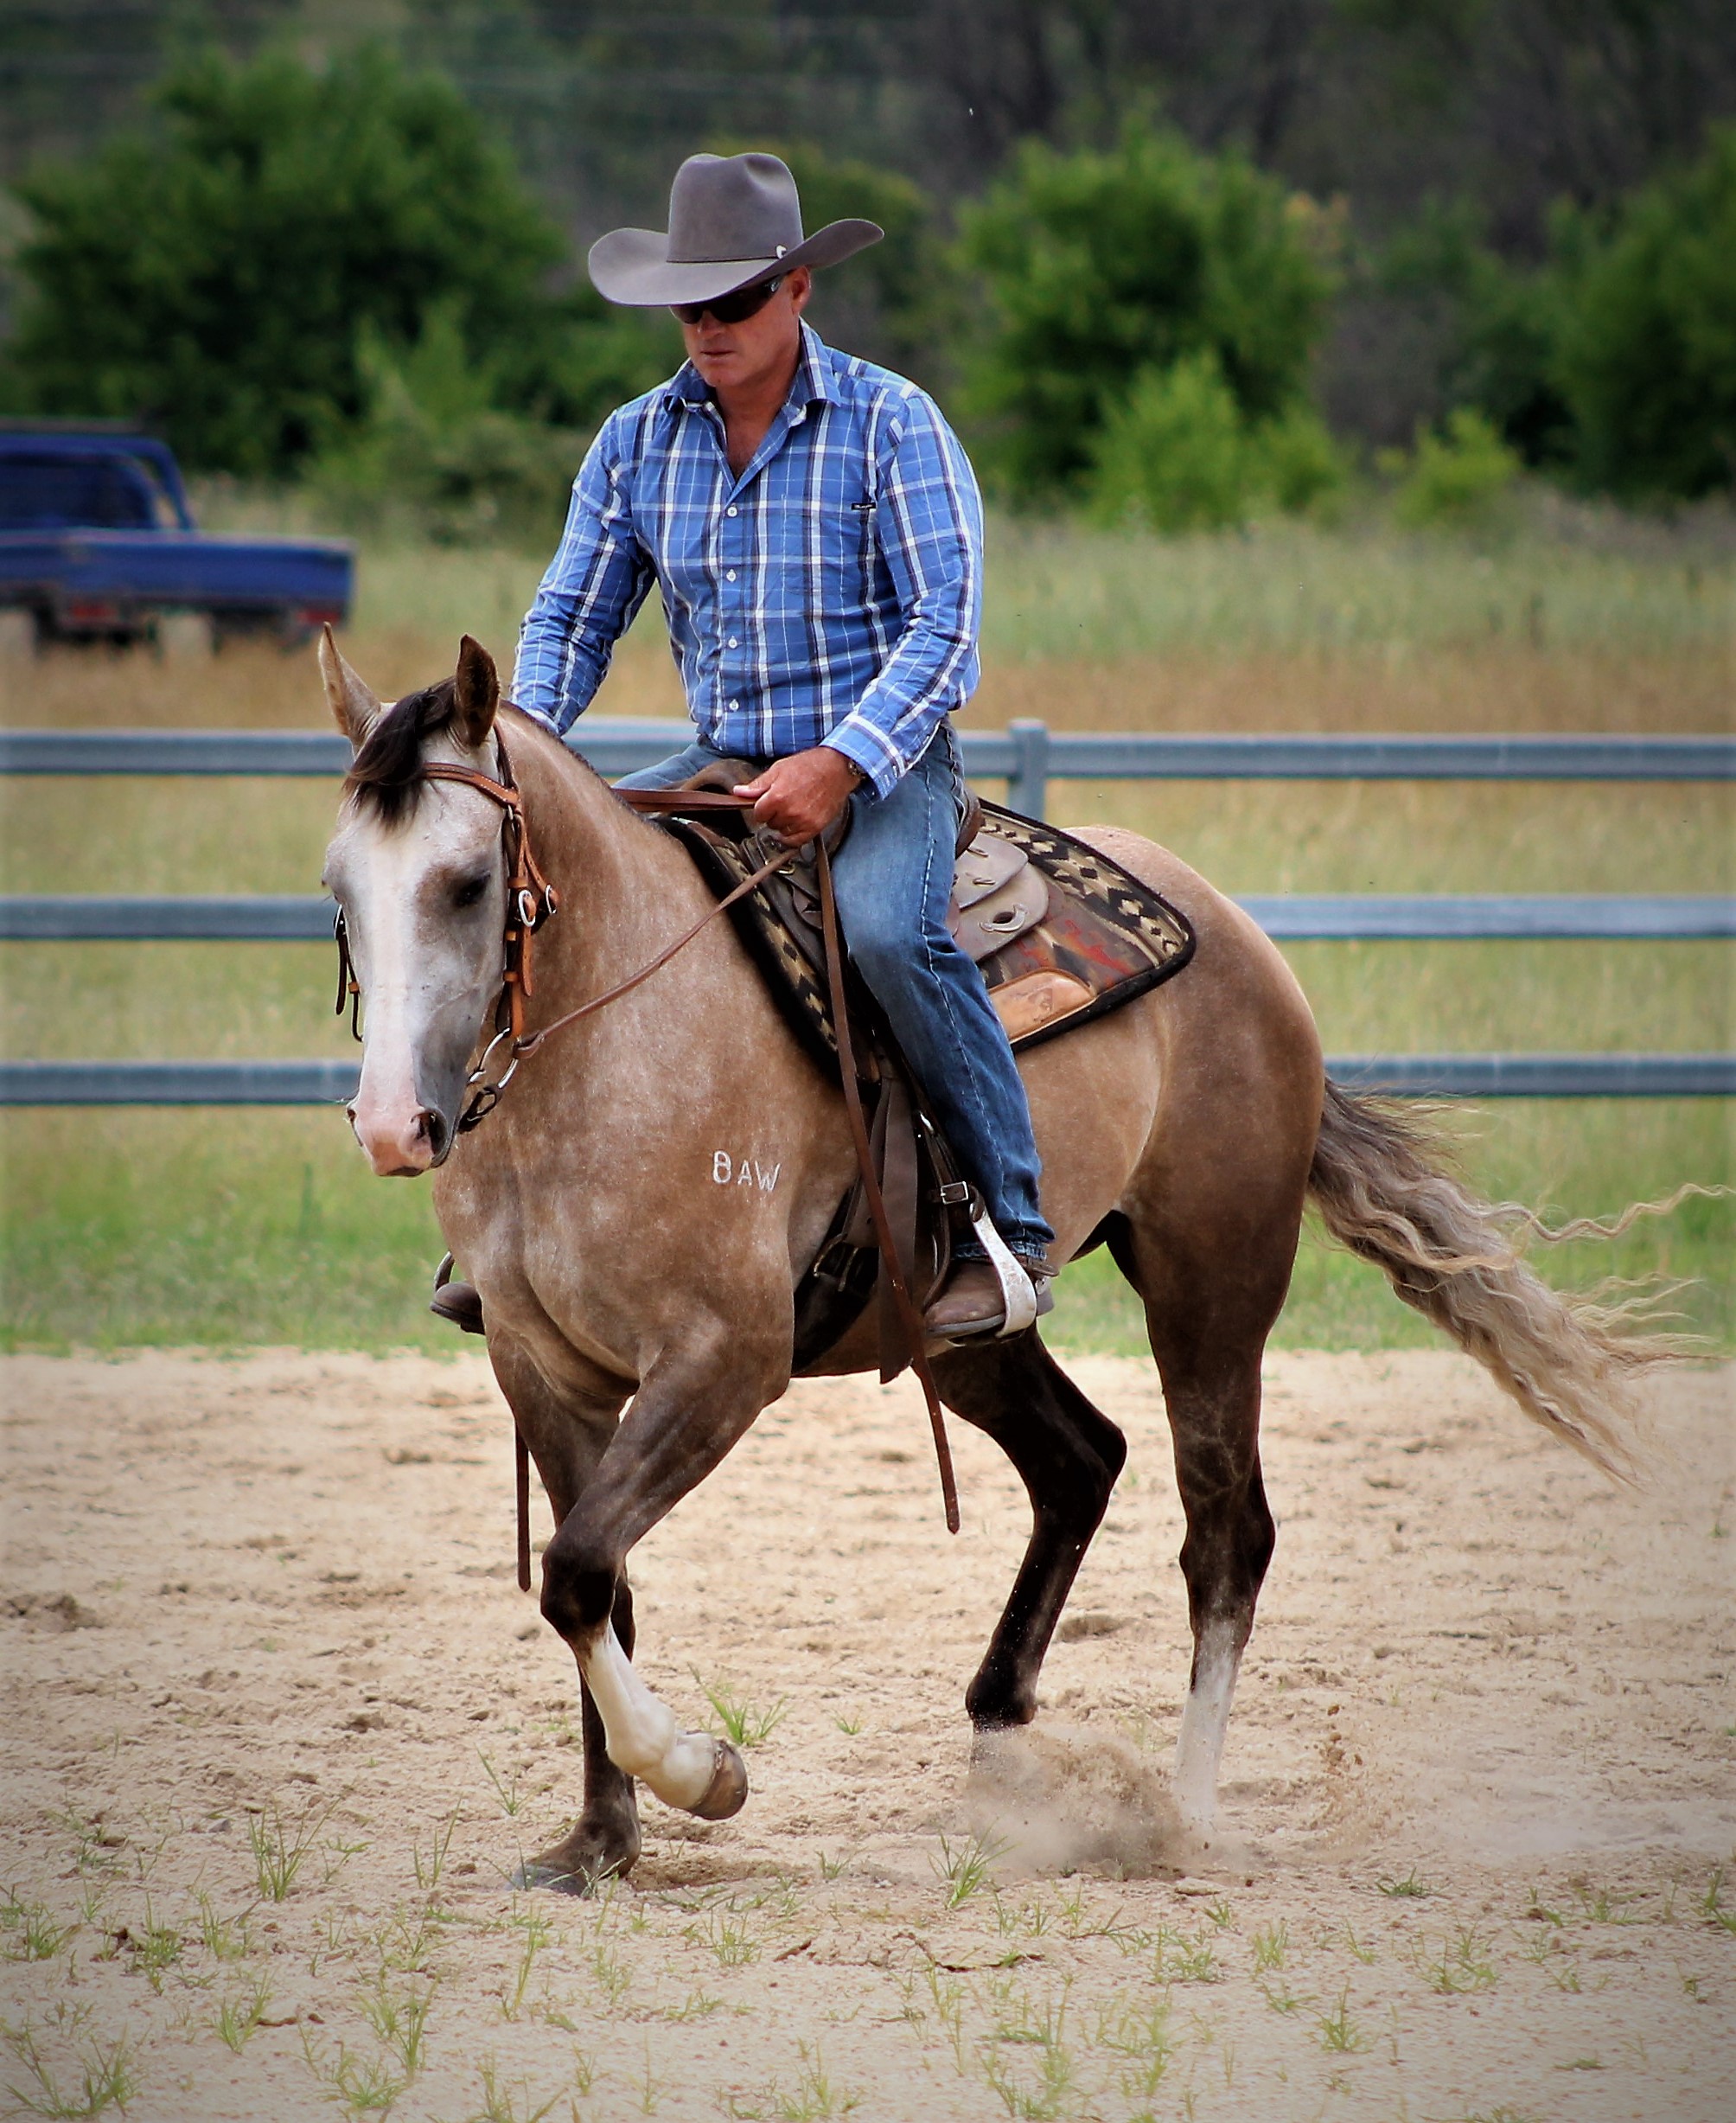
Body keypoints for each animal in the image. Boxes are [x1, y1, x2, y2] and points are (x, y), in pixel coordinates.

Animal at [318, 631, 1667, 1892]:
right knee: (1081, 1460)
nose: (392, 1124)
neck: (618, 1038)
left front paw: (704, 1775)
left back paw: (1182, 1812)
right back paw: (1004, 1745)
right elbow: (596, 1588)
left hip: (1214, 1283)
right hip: (958, 1332)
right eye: (339, 882)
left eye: (467, 881)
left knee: (1224, 1531)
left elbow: (580, 1567)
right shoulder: (539, 1362)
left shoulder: (724, 1358)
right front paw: (600, 1840)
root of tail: (1238, 936)